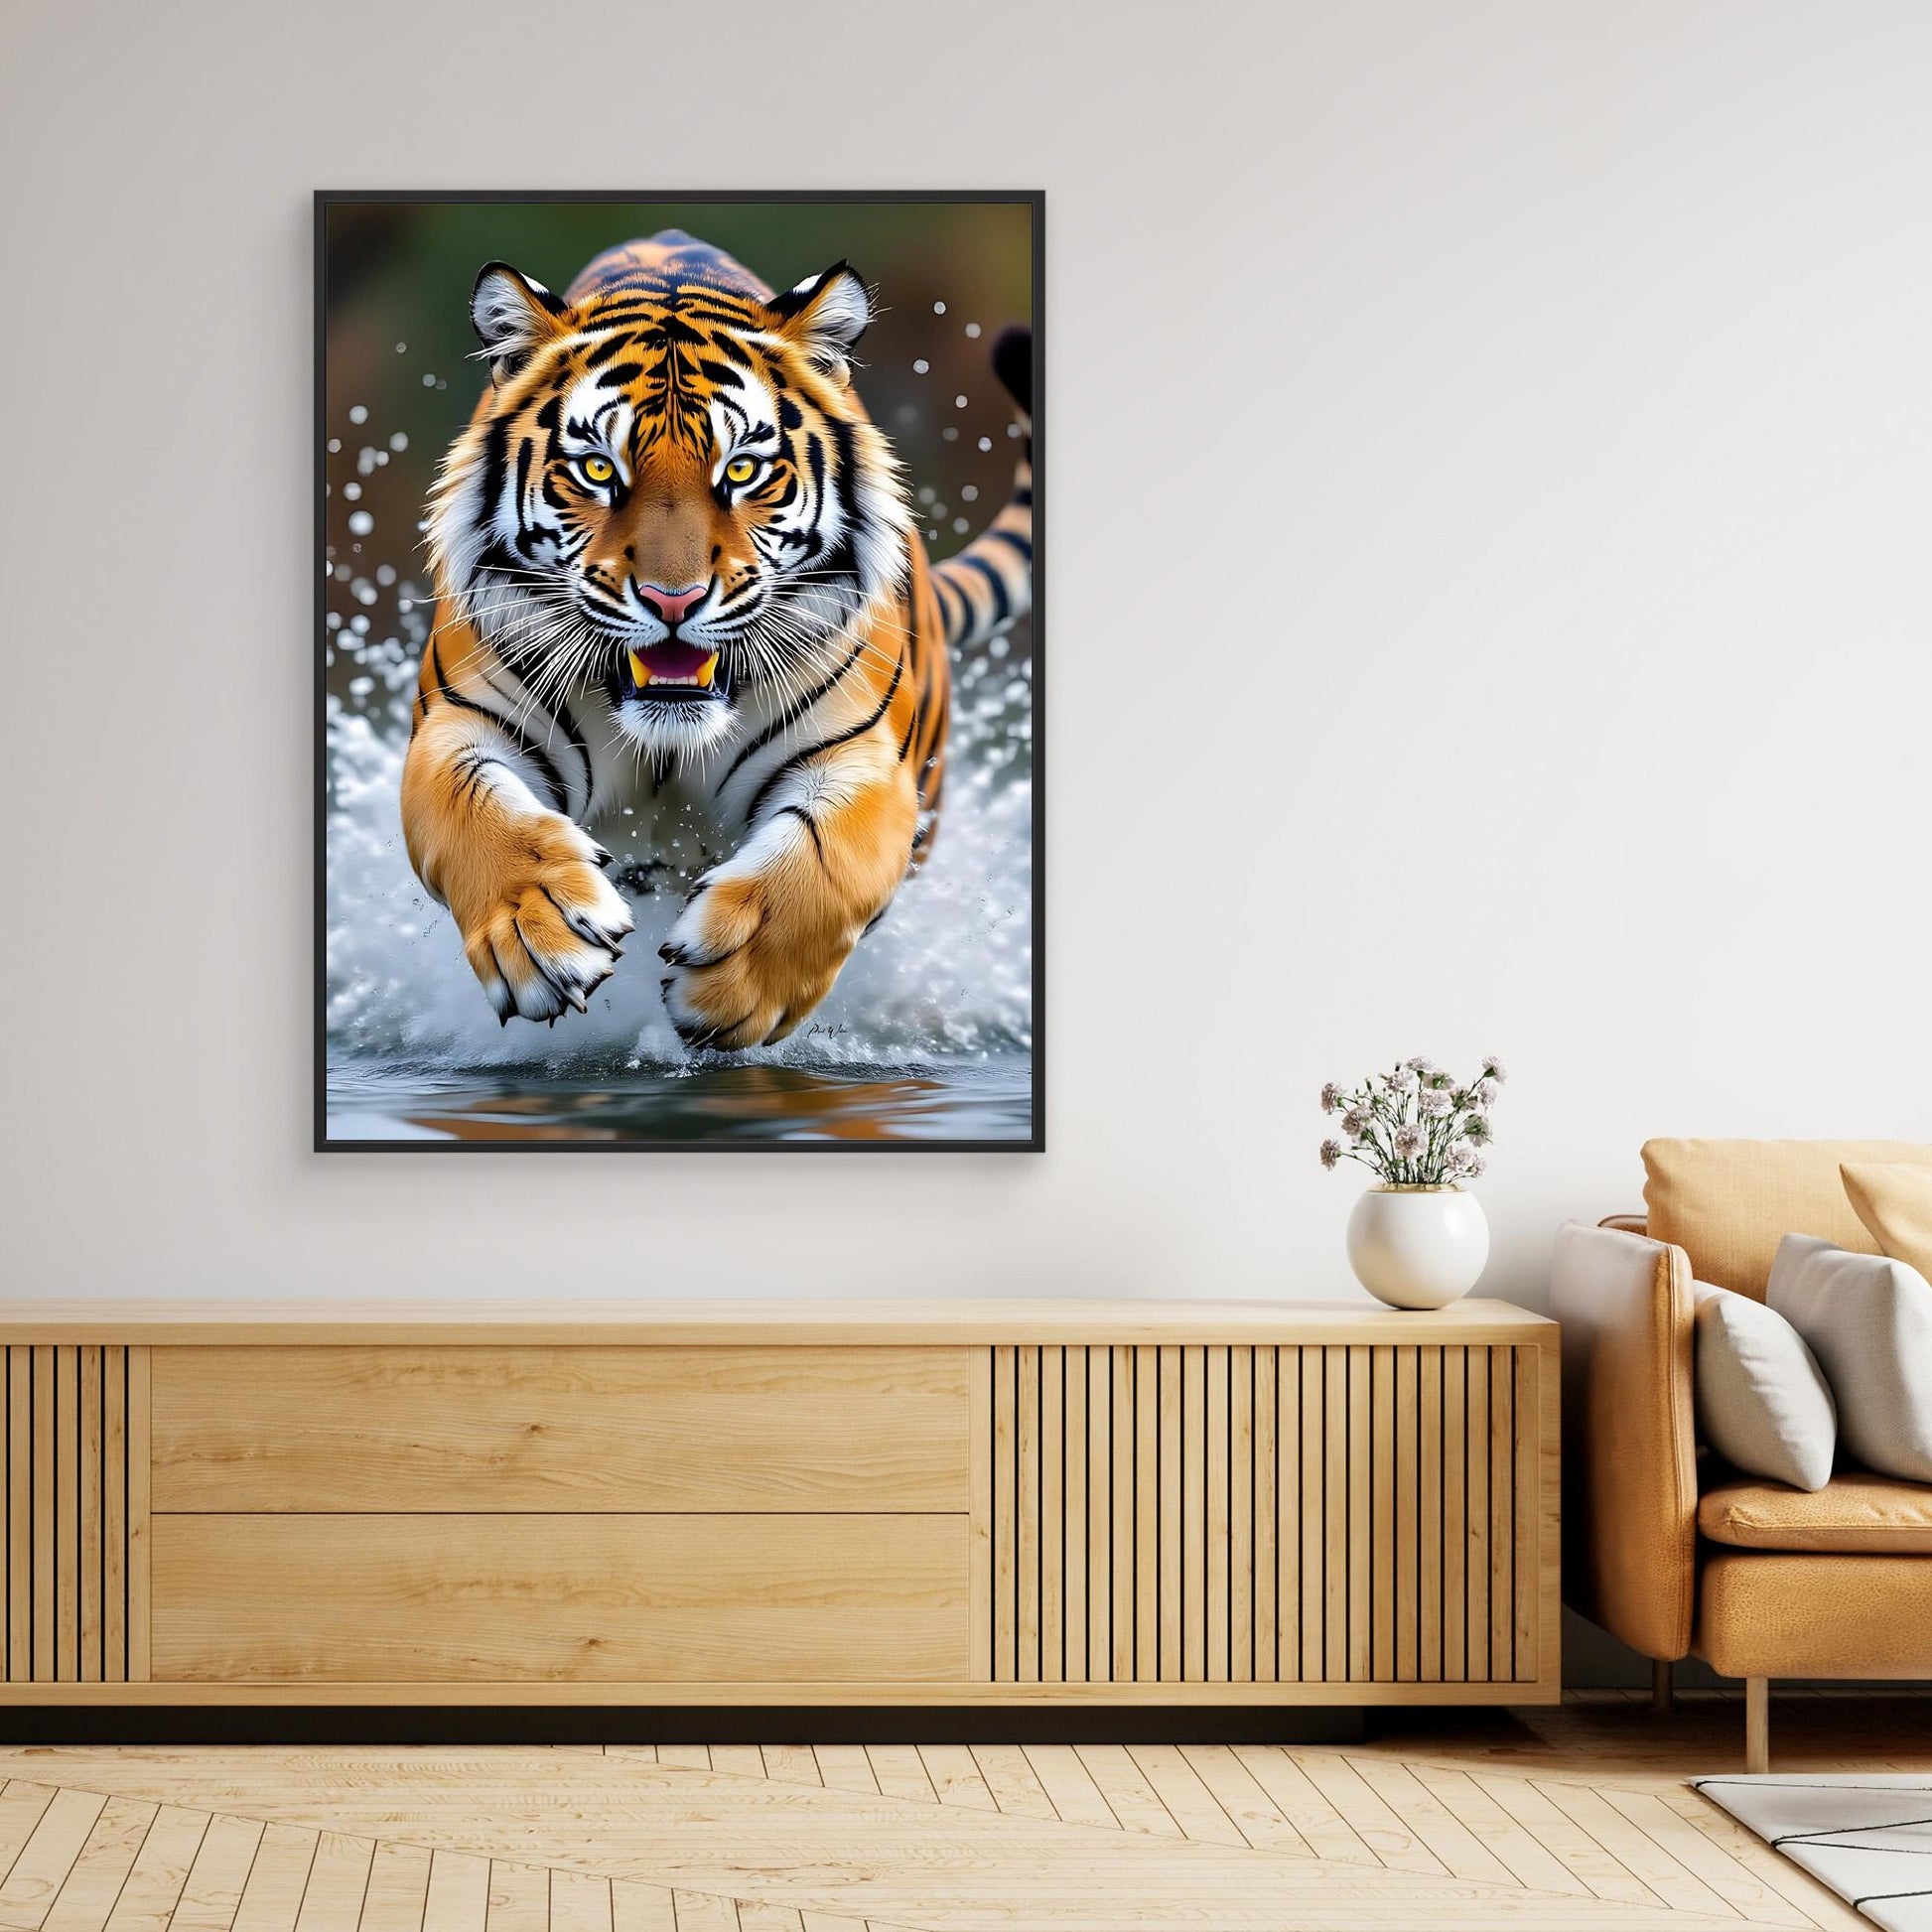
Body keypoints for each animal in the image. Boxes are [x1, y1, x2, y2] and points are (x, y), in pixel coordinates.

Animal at [401, 229, 1032, 1049]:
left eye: (743, 470)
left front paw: (736, 984)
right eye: (597, 468)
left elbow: (828, 863)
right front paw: (540, 932)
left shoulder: (864, 760)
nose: (674, 599)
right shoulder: (456, 725)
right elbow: (477, 815)